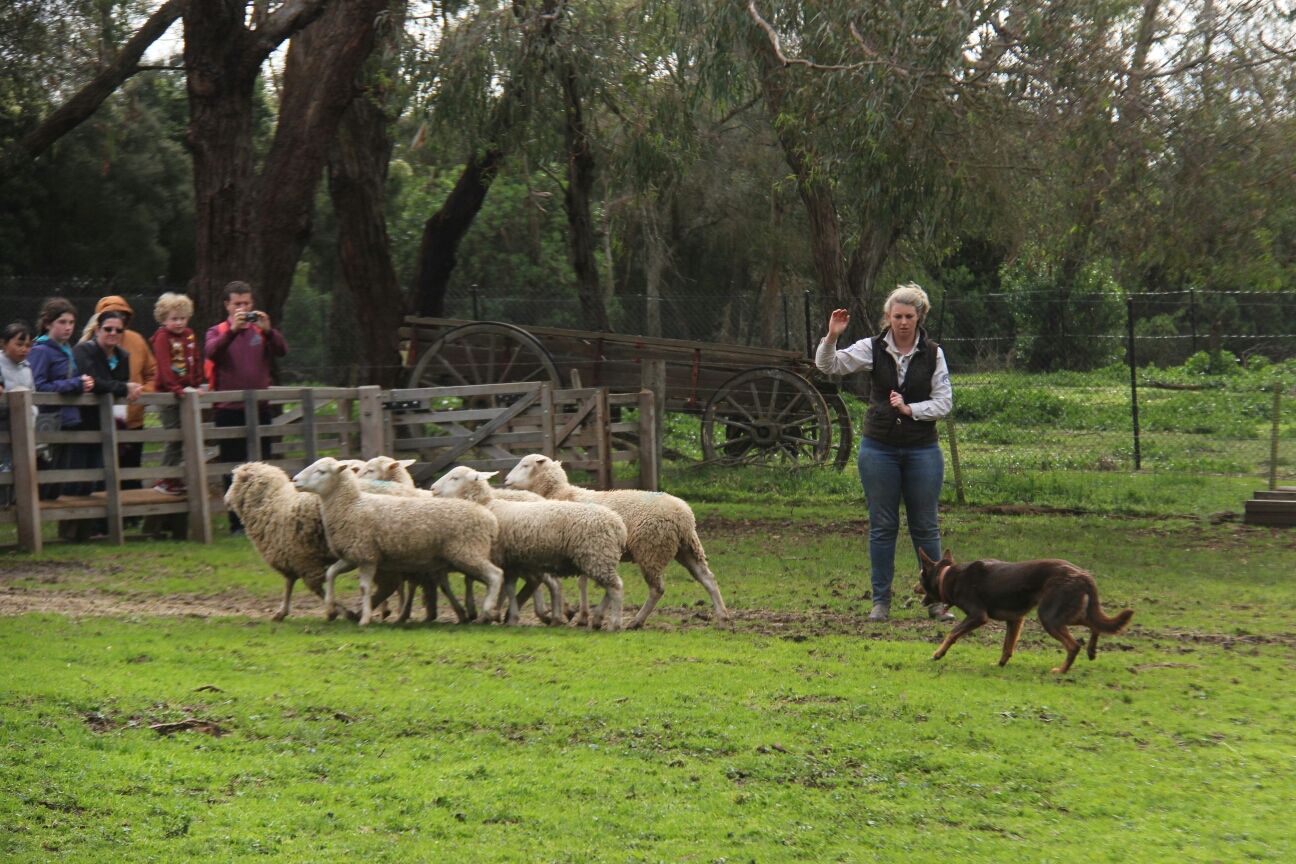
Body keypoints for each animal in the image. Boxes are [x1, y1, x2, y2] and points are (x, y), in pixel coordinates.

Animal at [292, 458, 505, 629]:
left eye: (321, 471)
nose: (295, 480)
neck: (351, 506)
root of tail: (490, 517)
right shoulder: (352, 556)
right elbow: (330, 574)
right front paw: (330, 610)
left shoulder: (367, 556)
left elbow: (364, 587)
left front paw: (365, 618)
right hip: (468, 553)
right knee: (489, 579)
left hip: (468, 552)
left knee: (495, 575)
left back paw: (487, 612)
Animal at [427, 468, 624, 632]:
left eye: (455, 477)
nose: (432, 488)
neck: (488, 506)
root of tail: (618, 524)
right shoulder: (511, 562)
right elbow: (509, 588)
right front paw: (509, 617)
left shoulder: (501, 559)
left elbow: (501, 587)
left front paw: (494, 614)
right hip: (601, 557)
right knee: (610, 587)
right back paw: (593, 619)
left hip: (596, 555)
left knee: (615, 587)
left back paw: (614, 623)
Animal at [502, 453, 730, 629]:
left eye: (525, 465)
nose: (505, 480)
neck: (560, 493)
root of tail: (684, 516)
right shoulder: (585, 550)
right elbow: (584, 581)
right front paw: (590, 616)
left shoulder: (584, 547)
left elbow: (582, 583)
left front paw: (583, 616)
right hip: (687, 548)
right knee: (708, 579)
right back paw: (722, 619)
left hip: (651, 548)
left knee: (657, 588)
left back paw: (637, 621)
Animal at [912, 546, 1135, 673]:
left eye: (920, 576)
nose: (913, 587)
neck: (948, 576)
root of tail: (1084, 576)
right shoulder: (1015, 619)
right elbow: (1007, 646)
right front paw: (1000, 665)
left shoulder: (978, 616)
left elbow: (952, 634)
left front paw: (938, 653)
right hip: (1067, 614)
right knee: (1095, 624)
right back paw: (1091, 651)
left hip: (1049, 617)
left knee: (1073, 645)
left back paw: (1061, 671)